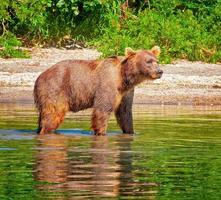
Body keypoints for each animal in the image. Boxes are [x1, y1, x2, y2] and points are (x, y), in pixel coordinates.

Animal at [34, 46, 162, 135]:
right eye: (148, 61)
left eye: (157, 61)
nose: (160, 71)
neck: (124, 78)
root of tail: (40, 76)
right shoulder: (107, 84)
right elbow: (103, 109)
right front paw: (101, 132)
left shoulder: (127, 92)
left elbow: (125, 112)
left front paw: (131, 132)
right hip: (55, 88)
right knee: (53, 114)